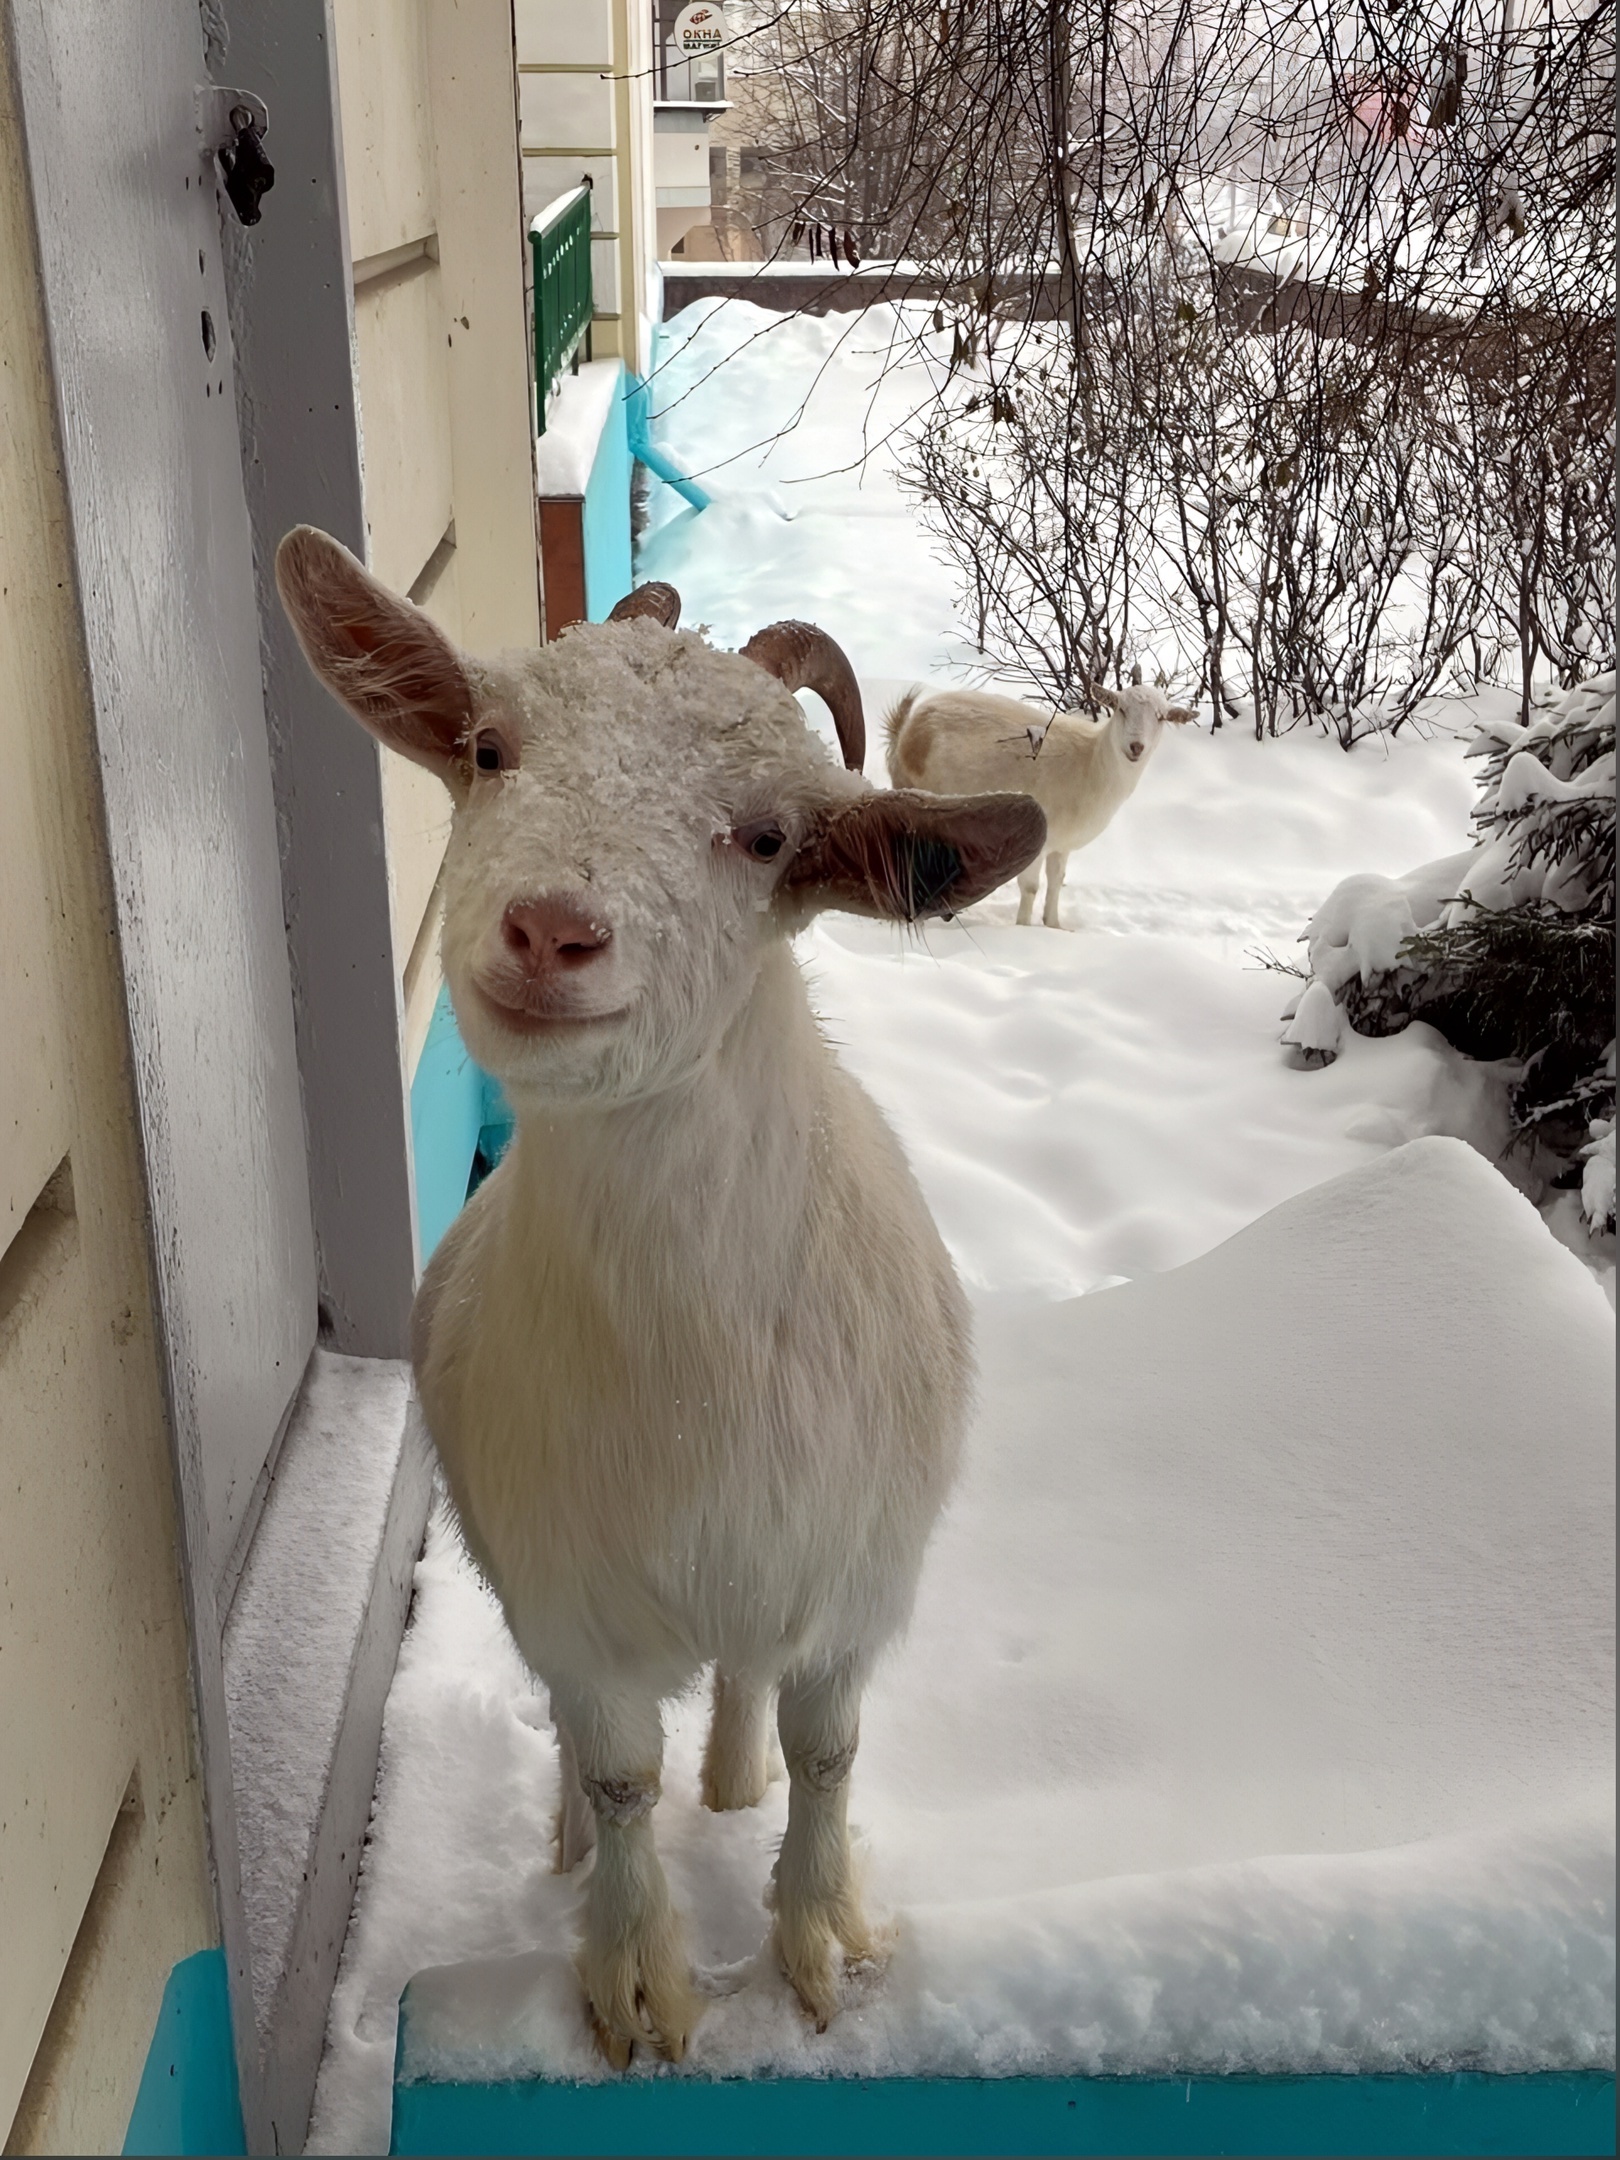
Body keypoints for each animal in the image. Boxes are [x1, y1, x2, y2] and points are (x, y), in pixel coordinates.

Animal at [278, 531, 1045, 2064]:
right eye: (488, 748)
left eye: (767, 837)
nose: (549, 931)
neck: (700, 1370)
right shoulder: (568, 1608)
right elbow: (624, 1773)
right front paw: (636, 1986)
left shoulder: (856, 1577)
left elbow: (830, 1748)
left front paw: (817, 1949)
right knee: (594, 1758)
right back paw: (574, 1848)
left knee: (748, 1686)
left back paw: (737, 1789)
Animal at [889, 673, 1192, 928]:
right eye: (1121, 709)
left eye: (1161, 717)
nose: (1135, 747)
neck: (1092, 761)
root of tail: (908, 726)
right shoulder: (1039, 837)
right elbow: (1031, 887)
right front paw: (1023, 928)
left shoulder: (1062, 843)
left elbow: (1056, 882)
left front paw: (1054, 925)